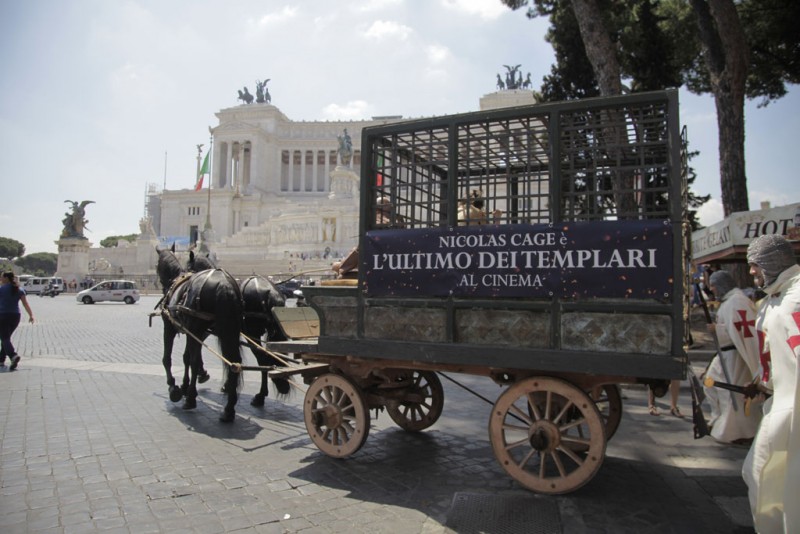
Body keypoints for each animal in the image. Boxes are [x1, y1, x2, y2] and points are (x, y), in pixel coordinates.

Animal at [155, 249, 244, 426]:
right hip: (230, 330)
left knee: (196, 361)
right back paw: (229, 409)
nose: (162, 285)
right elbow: (187, 357)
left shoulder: (171, 327)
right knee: (234, 362)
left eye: (157, 267)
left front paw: (174, 387)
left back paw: (190, 400)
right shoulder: (195, 331)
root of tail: (224, 285)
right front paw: (186, 384)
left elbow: (169, 358)